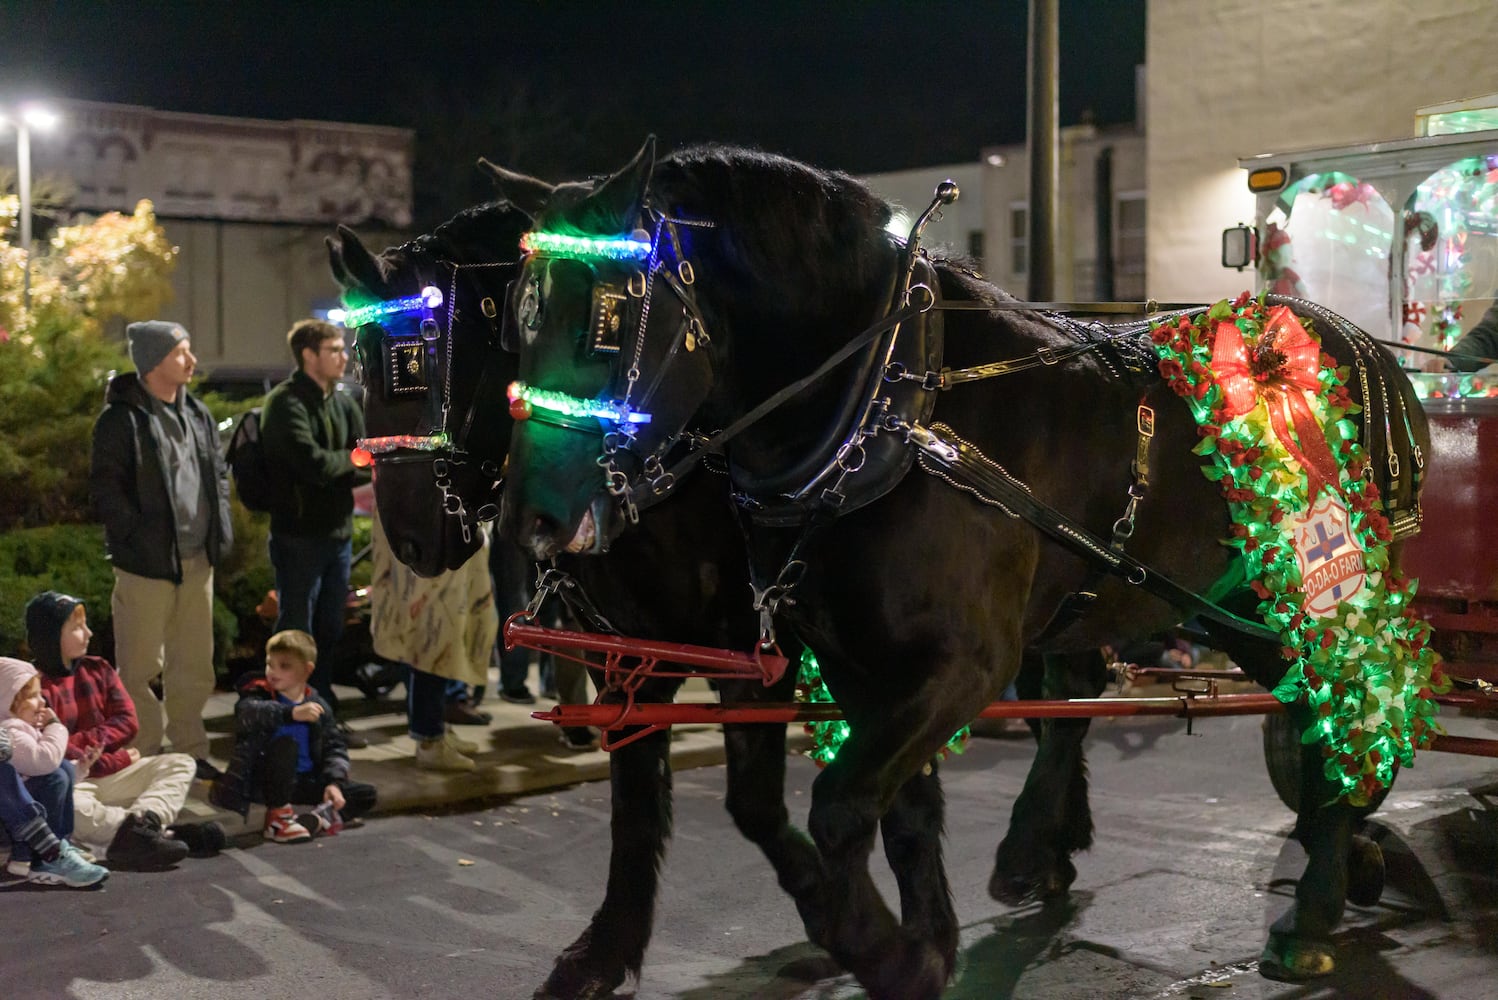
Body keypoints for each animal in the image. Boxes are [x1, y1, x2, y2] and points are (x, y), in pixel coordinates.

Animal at [488, 136, 1426, 994]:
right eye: (515, 318)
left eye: (607, 316)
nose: (527, 523)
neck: (892, 407)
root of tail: (1372, 354)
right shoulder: (848, 659)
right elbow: (887, 810)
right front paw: (927, 944)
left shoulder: (965, 664)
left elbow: (839, 806)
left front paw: (877, 949)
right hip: (1224, 605)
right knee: (1285, 712)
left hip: (1305, 598)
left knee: (1343, 708)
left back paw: (1314, 908)